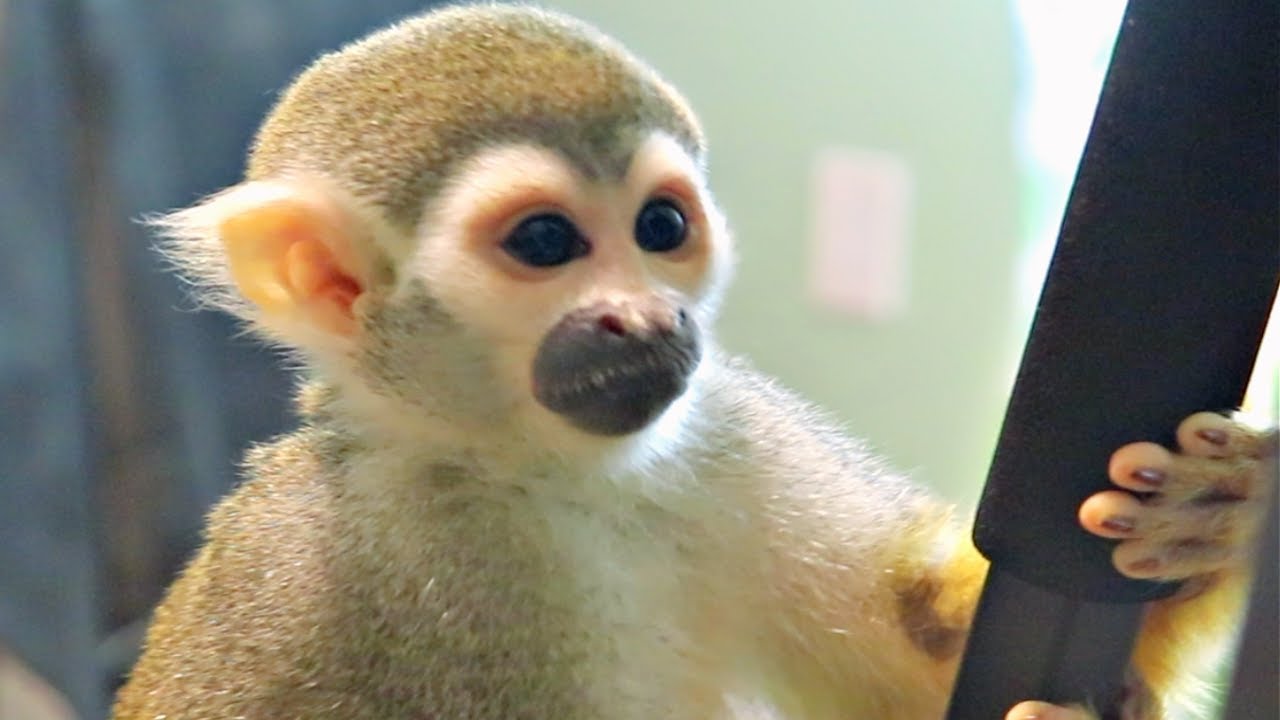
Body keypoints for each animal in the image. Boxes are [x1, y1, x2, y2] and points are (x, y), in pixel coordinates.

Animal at [112, 5, 1276, 719]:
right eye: (545, 243)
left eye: (661, 227)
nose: (644, 317)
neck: (529, 472)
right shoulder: (351, 573)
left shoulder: (721, 429)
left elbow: (927, 661)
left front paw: (1220, 513)